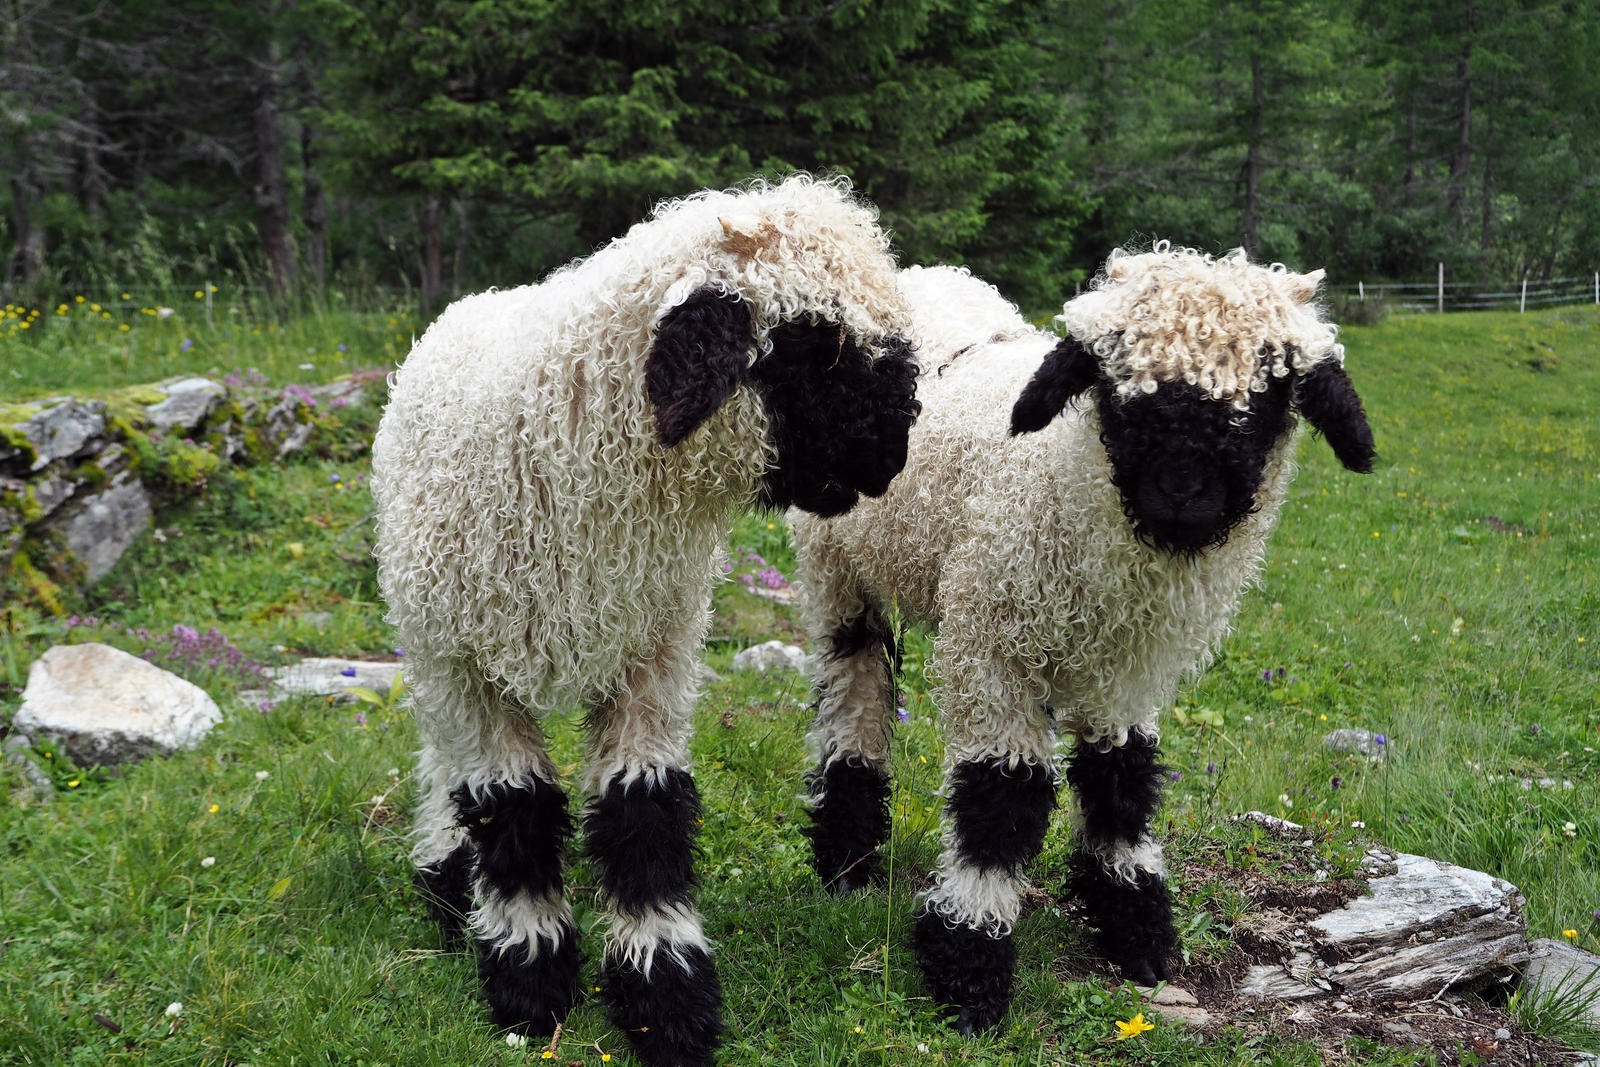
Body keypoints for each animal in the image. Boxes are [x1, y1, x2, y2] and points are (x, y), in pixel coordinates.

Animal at [369, 174, 920, 1067]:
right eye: (814, 341)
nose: (891, 458)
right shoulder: (473, 668)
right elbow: (512, 808)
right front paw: (528, 980)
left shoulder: (652, 652)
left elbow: (644, 809)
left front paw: (666, 996)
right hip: (433, 644)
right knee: (444, 760)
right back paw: (449, 881)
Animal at [790, 245, 1375, 1033]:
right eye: (1117, 389)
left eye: (1270, 394)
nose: (1181, 490)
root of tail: (926, 276)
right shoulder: (992, 645)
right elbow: (1002, 795)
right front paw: (969, 963)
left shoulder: (1126, 669)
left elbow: (1121, 778)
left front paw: (1137, 926)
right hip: (837, 568)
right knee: (854, 692)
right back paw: (847, 861)